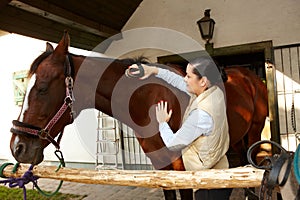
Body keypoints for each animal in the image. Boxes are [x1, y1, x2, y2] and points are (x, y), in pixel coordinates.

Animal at [8, 32, 268, 199]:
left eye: (42, 87)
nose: (17, 146)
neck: (148, 100)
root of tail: (250, 77)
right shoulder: (162, 169)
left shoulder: (182, 169)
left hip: (254, 132)